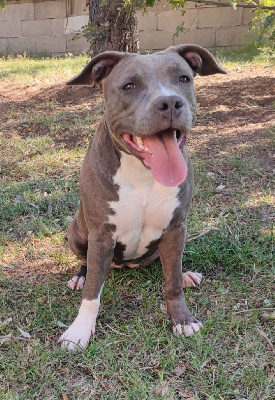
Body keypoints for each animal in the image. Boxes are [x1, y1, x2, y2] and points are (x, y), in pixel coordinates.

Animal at [58, 44, 226, 350]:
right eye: (129, 86)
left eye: (183, 78)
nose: (170, 103)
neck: (143, 173)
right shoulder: (101, 235)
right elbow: (92, 293)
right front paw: (79, 330)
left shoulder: (176, 228)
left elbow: (172, 281)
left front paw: (182, 319)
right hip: (76, 232)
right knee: (86, 264)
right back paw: (80, 276)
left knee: (169, 265)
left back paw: (187, 274)